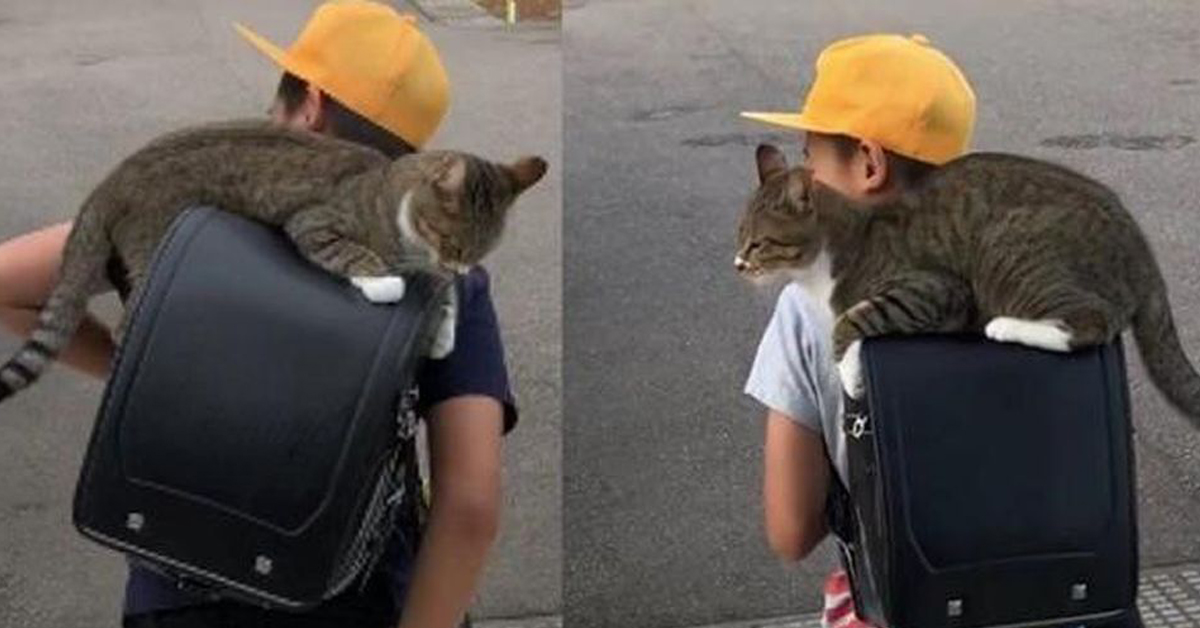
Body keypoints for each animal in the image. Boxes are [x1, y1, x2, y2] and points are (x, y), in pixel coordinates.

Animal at [1, 118, 549, 403]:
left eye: (480, 251)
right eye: (452, 240)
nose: (460, 265)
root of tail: (107, 186)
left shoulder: (432, 269)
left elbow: (444, 292)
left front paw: (444, 325)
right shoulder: (316, 222)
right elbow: (355, 254)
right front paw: (385, 282)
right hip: (148, 248)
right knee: (123, 327)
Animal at [729, 142, 1200, 427]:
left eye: (758, 244)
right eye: (739, 237)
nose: (737, 264)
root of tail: (1140, 247)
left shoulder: (935, 290)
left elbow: (849, 320)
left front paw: (849, 375)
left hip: (1009, 253)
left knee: (1091, 321)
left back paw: (1004, 326)